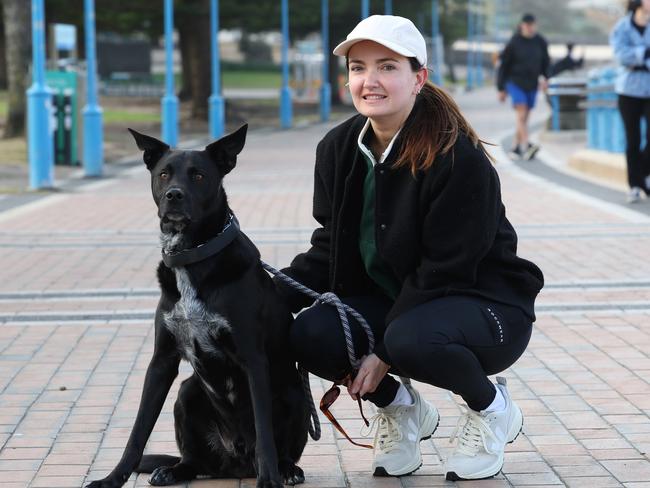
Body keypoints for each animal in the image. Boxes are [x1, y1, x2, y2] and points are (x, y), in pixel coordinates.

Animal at [85, 126, 308, 488]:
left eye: (199, 175)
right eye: (163, 174)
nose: (173, 195)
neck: (192, 256)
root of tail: (237, 462)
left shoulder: (253, 359)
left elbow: (265, 433)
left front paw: (270, 479)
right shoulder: (161, 362)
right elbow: (137, 432)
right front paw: (112, 478)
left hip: (294, 394)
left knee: (278, 446)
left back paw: (286, 469)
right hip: (186, 393)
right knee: (194, 460)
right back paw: (173, 470)